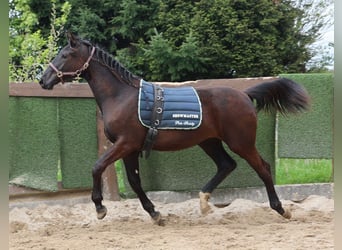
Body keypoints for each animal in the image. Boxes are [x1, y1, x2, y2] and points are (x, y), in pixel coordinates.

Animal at [40, 32, 310, 226]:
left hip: (241, 142)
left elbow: (97, 167)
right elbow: (135, 182)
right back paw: (204, 203)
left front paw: (100, 208)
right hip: (209, 141)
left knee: (263, 168)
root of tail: (244, 95)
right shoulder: (130, 149)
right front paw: (155, 214)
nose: (43, 80)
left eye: (65, 55)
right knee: (227, 165)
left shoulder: (125, 143)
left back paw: (281, 209)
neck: (122, 96)